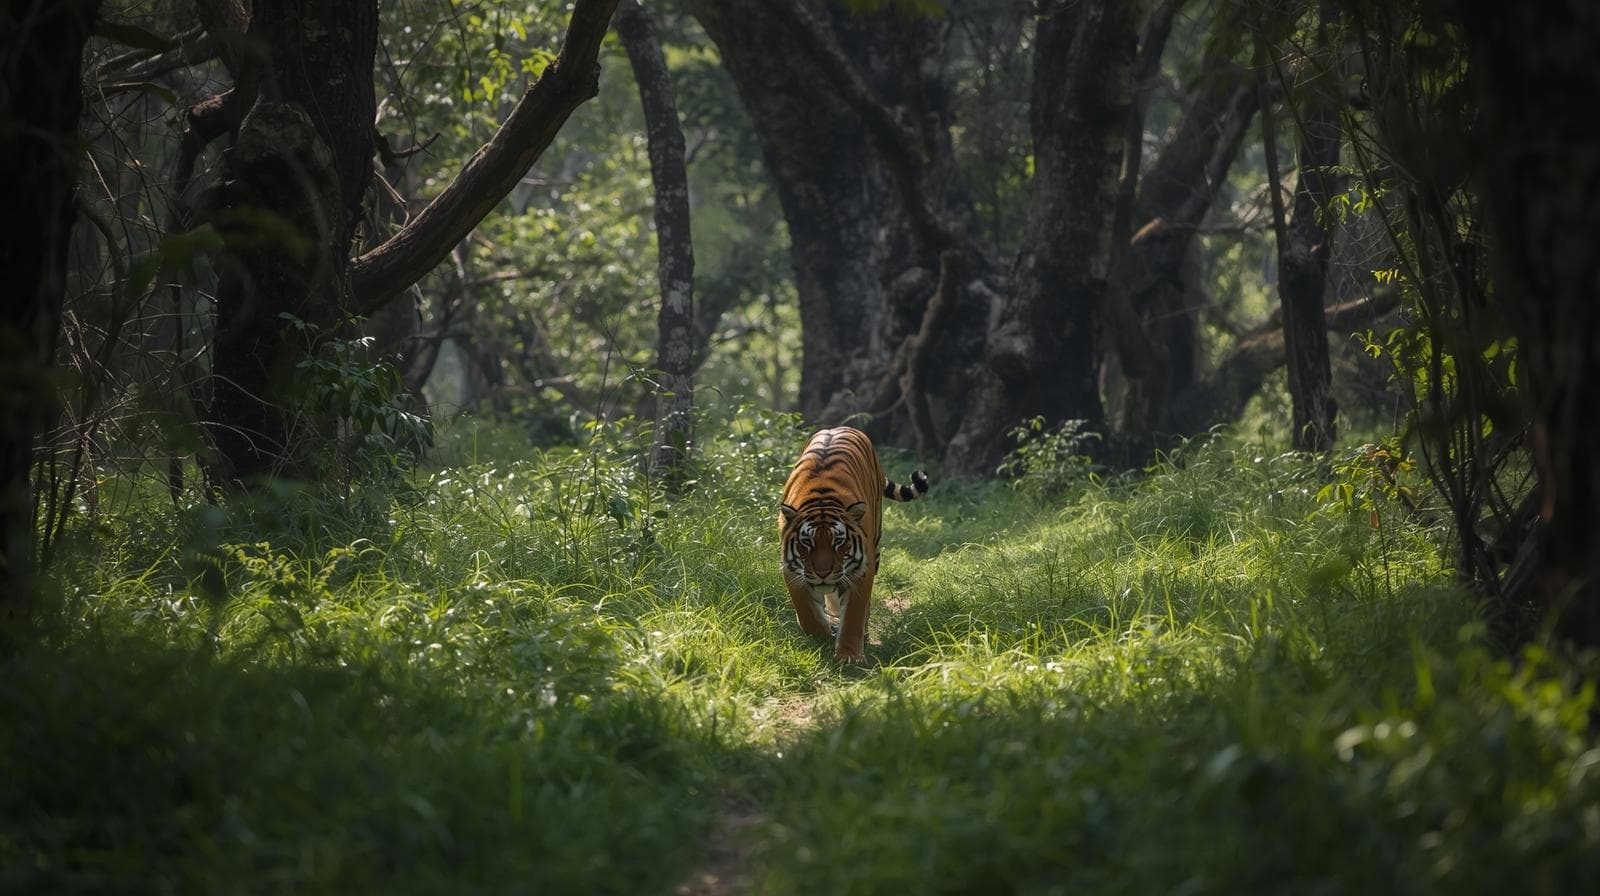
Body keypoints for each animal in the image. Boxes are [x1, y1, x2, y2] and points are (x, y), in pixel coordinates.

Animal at [779, 426, 929, 663]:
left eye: (839, 542)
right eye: (807, 542)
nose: (823, 573)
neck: (821, 497)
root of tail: (841, 427)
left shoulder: (860, 570)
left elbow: (853, 615)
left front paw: (849, 656)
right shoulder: (792, 570)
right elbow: (807, 613)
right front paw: (823, 633)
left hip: (875, 547)